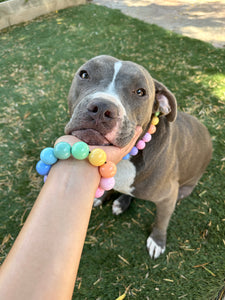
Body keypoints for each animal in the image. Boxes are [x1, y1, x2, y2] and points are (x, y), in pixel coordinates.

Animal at [64, 55, 212, 258]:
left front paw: (157, 241)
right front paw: (103, 196)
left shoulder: (168, 197)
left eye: (140, 92)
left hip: (184, 190)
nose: (101, 108)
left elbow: (161, 221)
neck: (127, 159)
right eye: (84, 74)